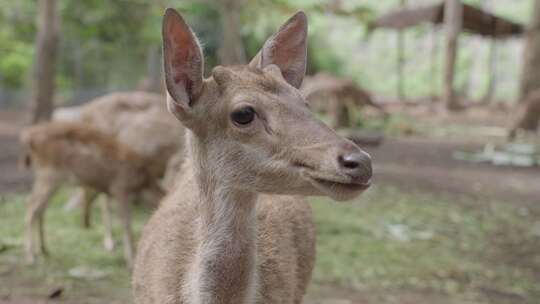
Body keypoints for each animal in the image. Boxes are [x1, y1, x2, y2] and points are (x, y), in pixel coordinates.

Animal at [21, 121, 166, 268]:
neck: (143, 184)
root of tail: (28, 137)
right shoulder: (120, 188)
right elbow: (125, 223)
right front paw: (130, 260)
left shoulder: (107, 189)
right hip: (49, 174)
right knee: (31, 206)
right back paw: (30, 257)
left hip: (51, 179)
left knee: (40, 208)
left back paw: (44, 250)